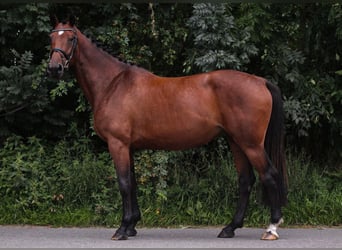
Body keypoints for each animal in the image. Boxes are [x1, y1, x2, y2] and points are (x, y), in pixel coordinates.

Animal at [47, 16, 288, 241]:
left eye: (71, 38)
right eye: (51, 37)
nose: (54, 68)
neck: (113, 84)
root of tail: (261, 81)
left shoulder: (118, 144)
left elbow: (123, 183)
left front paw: (122, 229)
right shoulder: (129, 147)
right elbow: (132, 183)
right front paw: (132, 225)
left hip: (251, 144)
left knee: (269, 175)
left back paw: (271, 228)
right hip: (236, 141)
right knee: (245, 181)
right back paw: (230, 228)